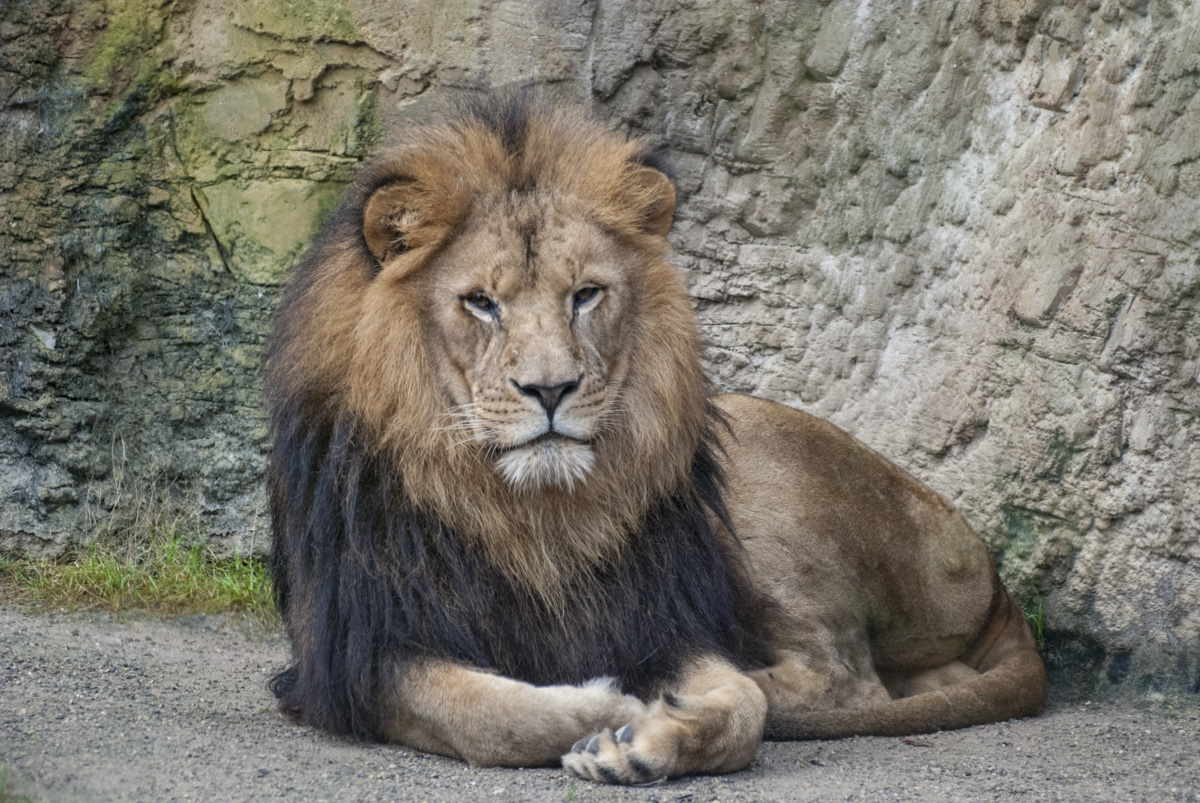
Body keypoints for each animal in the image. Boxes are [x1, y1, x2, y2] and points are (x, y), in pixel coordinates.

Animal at [264, 93, 1045, 785]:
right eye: (480, 303)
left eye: (585, 295)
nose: (551, 389)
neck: (531, 517)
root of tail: (995, 578)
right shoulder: (359, 657)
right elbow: (493, 716)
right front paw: (619, 706)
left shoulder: (662, 618)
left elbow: (742, 705)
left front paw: (646, 729)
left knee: (851, 681)